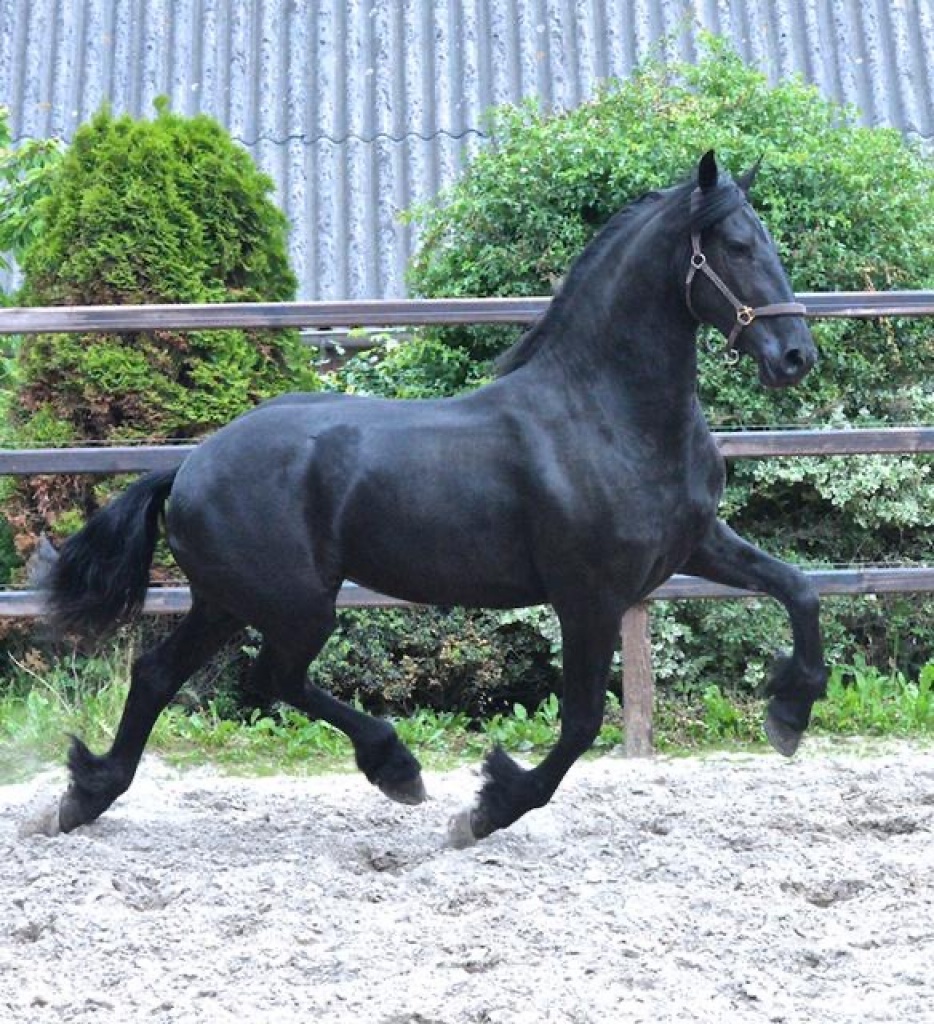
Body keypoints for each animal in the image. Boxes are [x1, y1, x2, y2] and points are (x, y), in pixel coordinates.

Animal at [40, 151, 827, 845]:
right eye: (735, 246)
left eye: (767, 240)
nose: (796, 356)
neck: (605, 413)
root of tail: (189, 466)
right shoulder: (590, 595)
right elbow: (579, 723)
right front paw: (489, 808)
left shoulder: (693, 545)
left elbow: (798, 588)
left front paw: (790, 713)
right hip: (294, 604)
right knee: (273, 677)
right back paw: (397, 767)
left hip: (226, 601)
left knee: (159, 675)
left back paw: (85, 795)